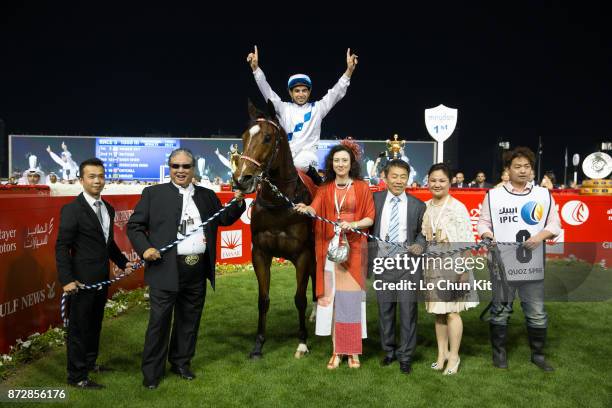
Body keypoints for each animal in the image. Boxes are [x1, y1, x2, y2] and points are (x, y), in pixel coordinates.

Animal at [233, 100, 318, 358]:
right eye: (243, 136)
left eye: (268, 137)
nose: (242, 179)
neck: (281, 202)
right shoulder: (260, 253)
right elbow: (263, 299)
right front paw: (258, 344)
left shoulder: (303, 255)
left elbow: (299, 298)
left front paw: (302, 342)